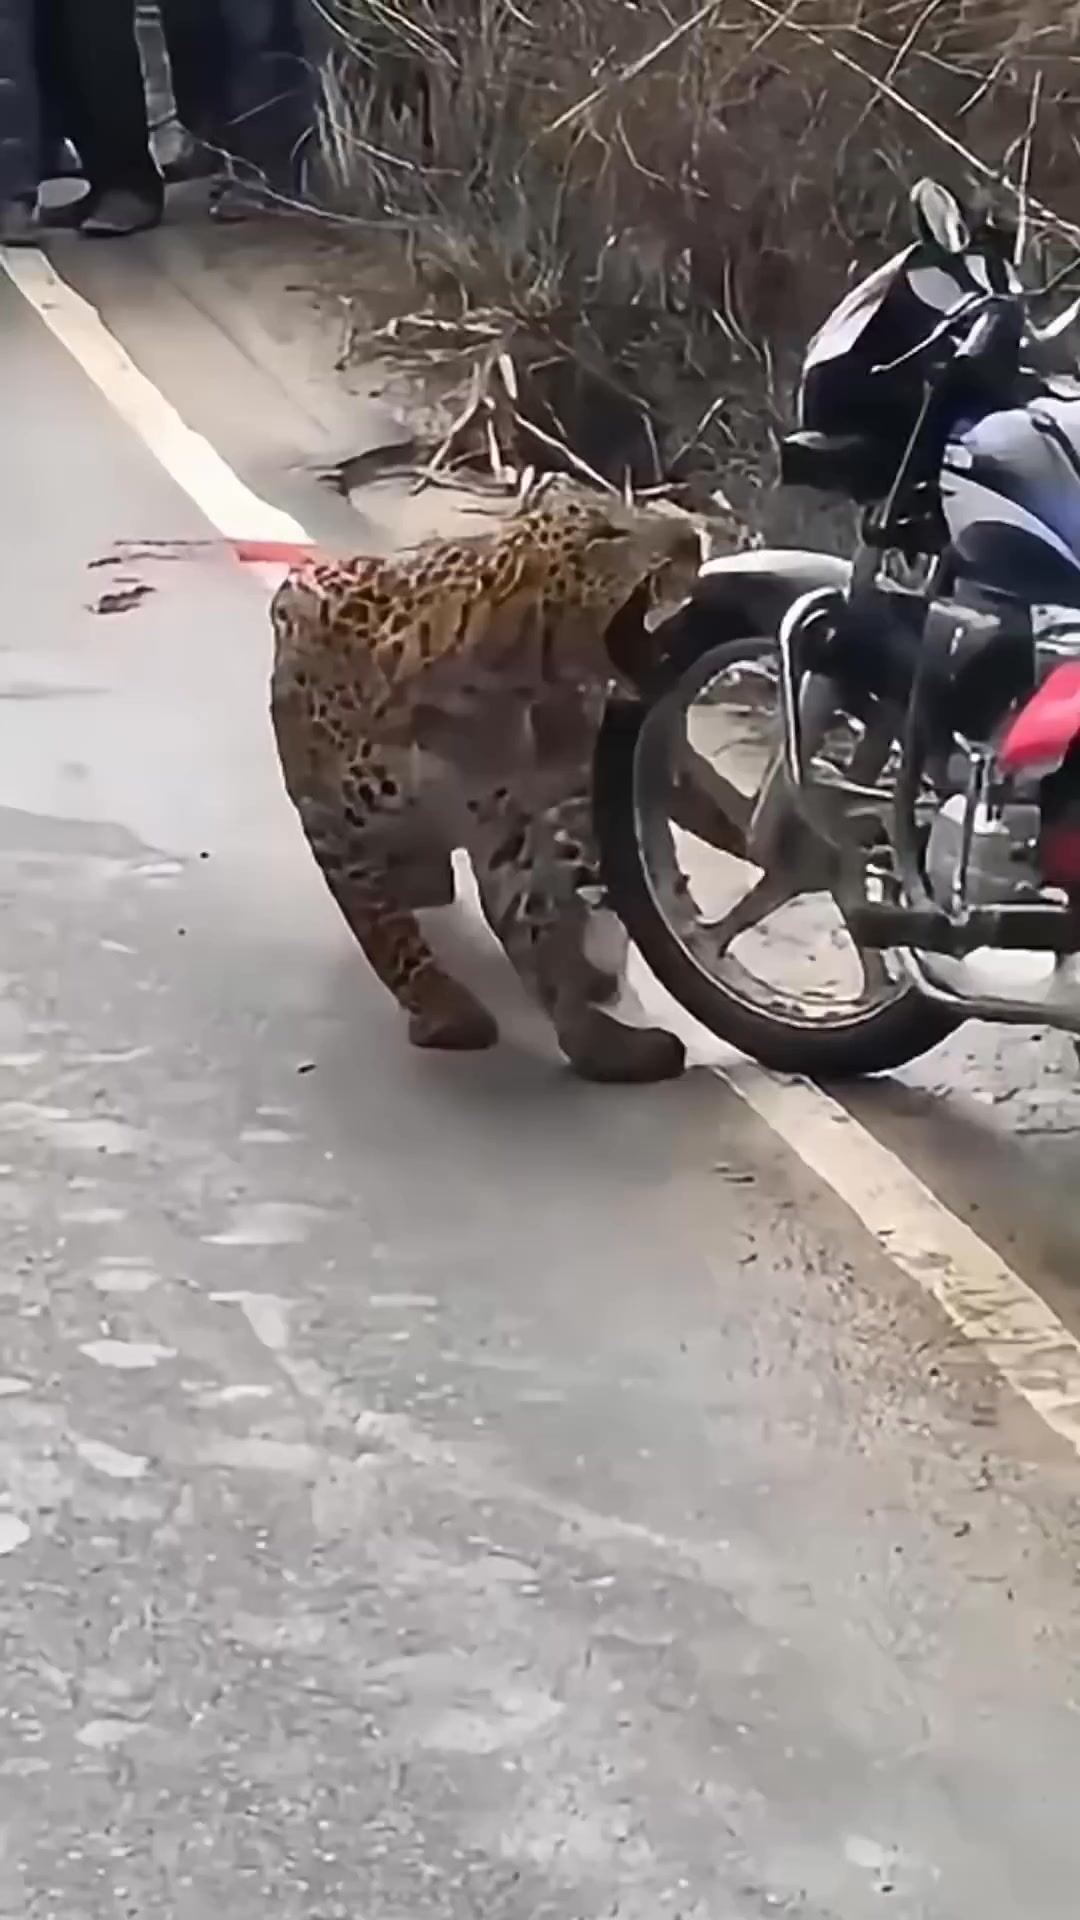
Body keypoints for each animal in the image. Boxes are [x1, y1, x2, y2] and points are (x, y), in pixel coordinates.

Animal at [269, 480, 705, 1082]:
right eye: (607, 534)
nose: (696, 537)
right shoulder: (337, 831)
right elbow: (388, 934)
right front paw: (444, 1009)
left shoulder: (507, 831)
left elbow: (542, 941)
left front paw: (598, 1041)